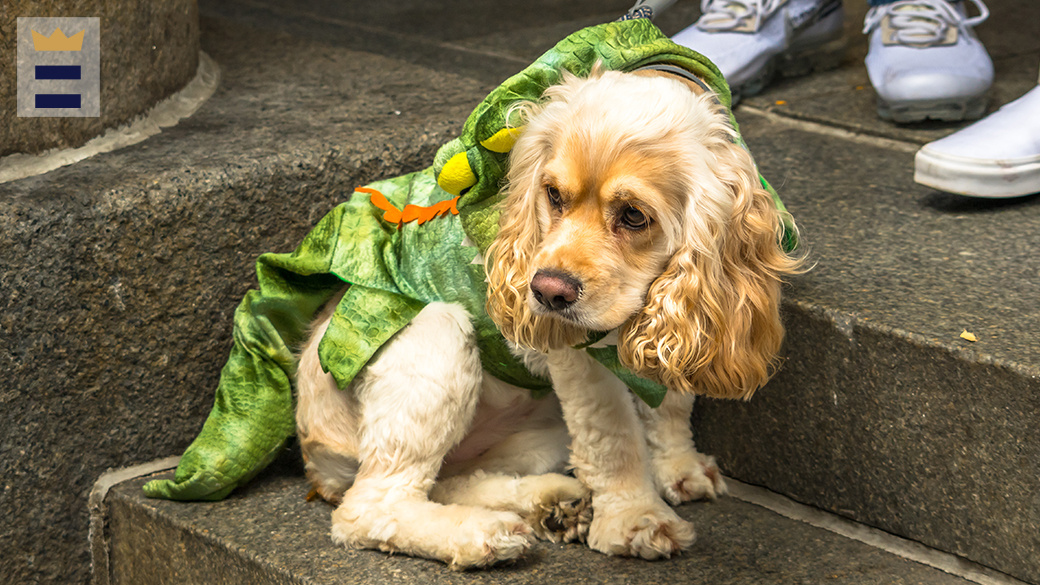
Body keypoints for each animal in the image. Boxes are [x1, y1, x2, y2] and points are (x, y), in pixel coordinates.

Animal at [293, 66, 802, 566]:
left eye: (634, 216)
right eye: (553, 194)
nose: (547, 292)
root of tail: (317, 462)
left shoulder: (680, 319)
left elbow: (671, 401)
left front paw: (678, 466)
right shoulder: (580, 356)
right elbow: (612, 435)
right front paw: (635, 518)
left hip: (538, 435)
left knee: (448, 480)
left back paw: (552, 503)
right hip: (433, 337)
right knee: (370, 506)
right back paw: (482, 535)